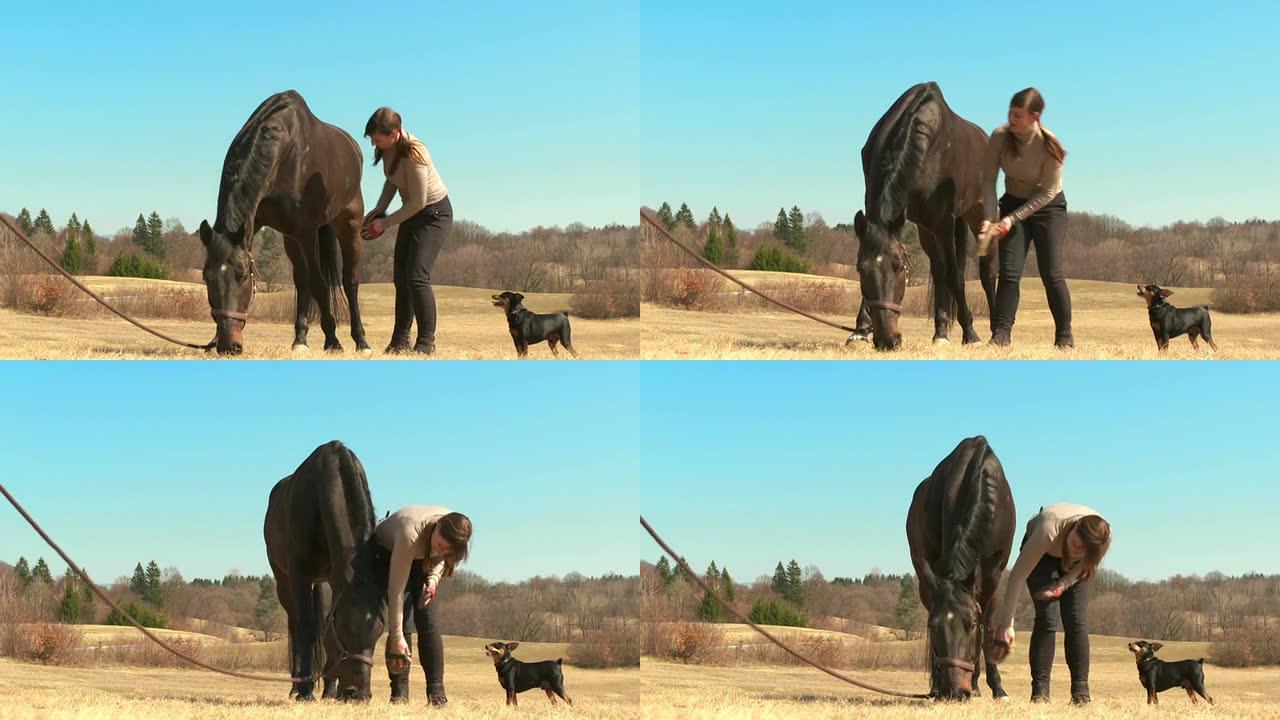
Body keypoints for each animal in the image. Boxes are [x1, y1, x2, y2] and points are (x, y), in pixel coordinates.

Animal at [199, 89, 368, 353]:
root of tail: (353, 148)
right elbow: (306, 283)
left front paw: (333, 340)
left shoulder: (307, 232)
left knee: (349, 281)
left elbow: (319, 284)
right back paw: (300, 338)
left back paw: (360, 340)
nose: (228, 345)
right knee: (301, 280)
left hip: (348, 226)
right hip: (291, 238)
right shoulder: (257, 223)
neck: (286, 152)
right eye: (207, 277)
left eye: (243, 275)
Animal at [264, 440, 384, 696]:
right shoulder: (300, 573)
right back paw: (296, 685)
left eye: (380, 628)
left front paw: (329, 689)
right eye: (346, 628)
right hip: (284, 580)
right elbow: (306, 627)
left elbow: (326, 632)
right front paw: (306, 690)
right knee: (295, 623)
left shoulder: (334, 578)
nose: (359, 694)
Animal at [849, 82, 998, 348]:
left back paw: (995, 333)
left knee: (986, 272)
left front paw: (971, 334)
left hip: (978, 215)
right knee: (939, 272)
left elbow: (956, 277)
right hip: (926, 228)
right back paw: (941, 332)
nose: (888, 339)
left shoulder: (945, 223)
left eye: (899, 267)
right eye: (861, 269)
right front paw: (860, 331)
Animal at [906, 435, 1013, 696]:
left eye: (971, 625)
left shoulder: (994, 574)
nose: (955, 691)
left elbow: (988, 626)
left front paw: (995, 687)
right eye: (934, 626)